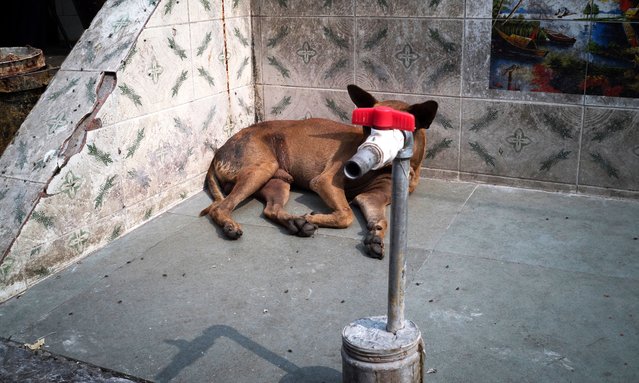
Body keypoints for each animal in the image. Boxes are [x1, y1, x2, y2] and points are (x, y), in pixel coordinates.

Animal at [201, 85, 440, 260]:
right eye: (367, 127)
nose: (363, 154)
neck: (386, 167)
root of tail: (218, 152)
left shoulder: (372, 198)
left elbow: (381, 220)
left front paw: (376, 235)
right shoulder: (325, 182)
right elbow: (346, 215)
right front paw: (317, 216)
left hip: (278, 182)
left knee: (271, 210)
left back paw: (296, 223)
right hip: (261, 169)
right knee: (221, 207)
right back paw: (231, 226)